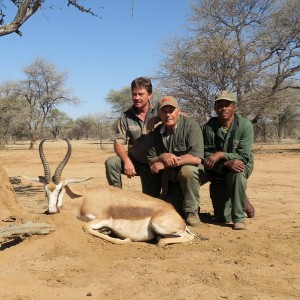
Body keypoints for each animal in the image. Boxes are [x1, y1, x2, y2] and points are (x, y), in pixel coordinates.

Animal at [25, 138, 195, 246]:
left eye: (60, 188)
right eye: (45, 190)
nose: (51, 210)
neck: (82, 199)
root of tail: (173, 212)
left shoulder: (101, 218)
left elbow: (85, 227)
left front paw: (124, 239)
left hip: (160, 226)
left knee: (186, 237)